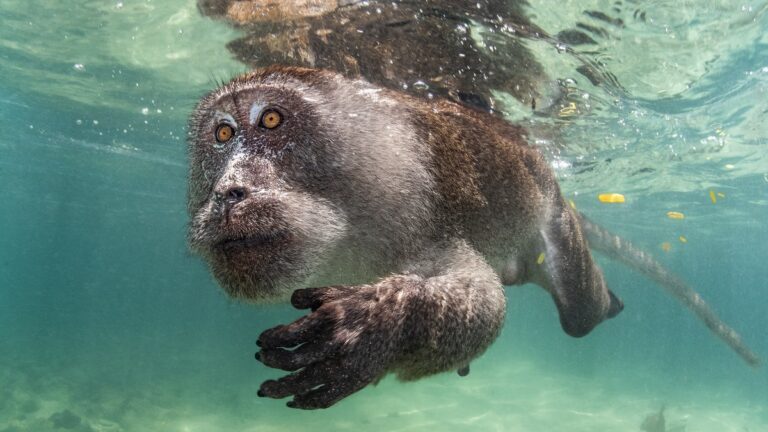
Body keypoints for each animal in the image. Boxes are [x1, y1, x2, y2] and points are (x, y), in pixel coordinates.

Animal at [187, 66, 759, 410]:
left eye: (271, 119)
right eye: (222, 134)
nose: (228, 192)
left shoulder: (421, 212)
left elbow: (482, 300)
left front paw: (376, 327)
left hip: (556, 221)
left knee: (577, 312)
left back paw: (600, 302)